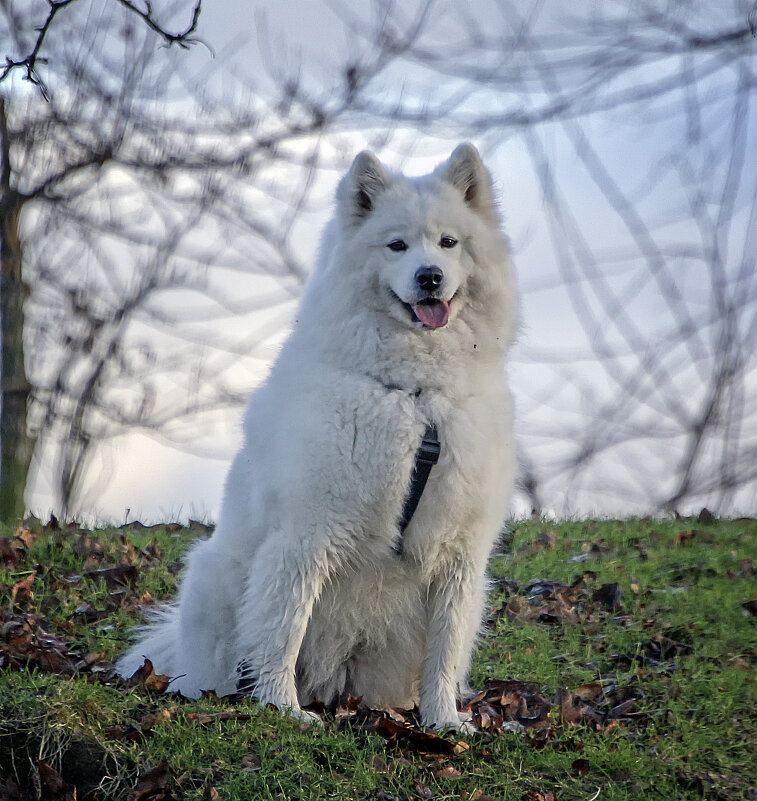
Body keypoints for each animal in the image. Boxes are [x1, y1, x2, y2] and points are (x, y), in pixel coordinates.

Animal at [118, 144, 516, 732]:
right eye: (396, 245)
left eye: (449, 243)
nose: (430, 277)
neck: (414, 396)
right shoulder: (306, 533)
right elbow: (283, 626)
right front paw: (281, 708)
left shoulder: (460, 553)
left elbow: (444, 651)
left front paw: (443, 722)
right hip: (216, 575)